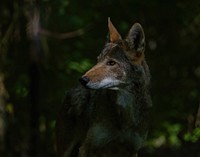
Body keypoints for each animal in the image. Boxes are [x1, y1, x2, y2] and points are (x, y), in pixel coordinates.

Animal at [55, 18, 152, 157]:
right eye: (98, 60)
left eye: (111, 63)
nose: (82, 80)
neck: (125, 116)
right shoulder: (87, 148)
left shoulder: (132, 150)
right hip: (65, 150)